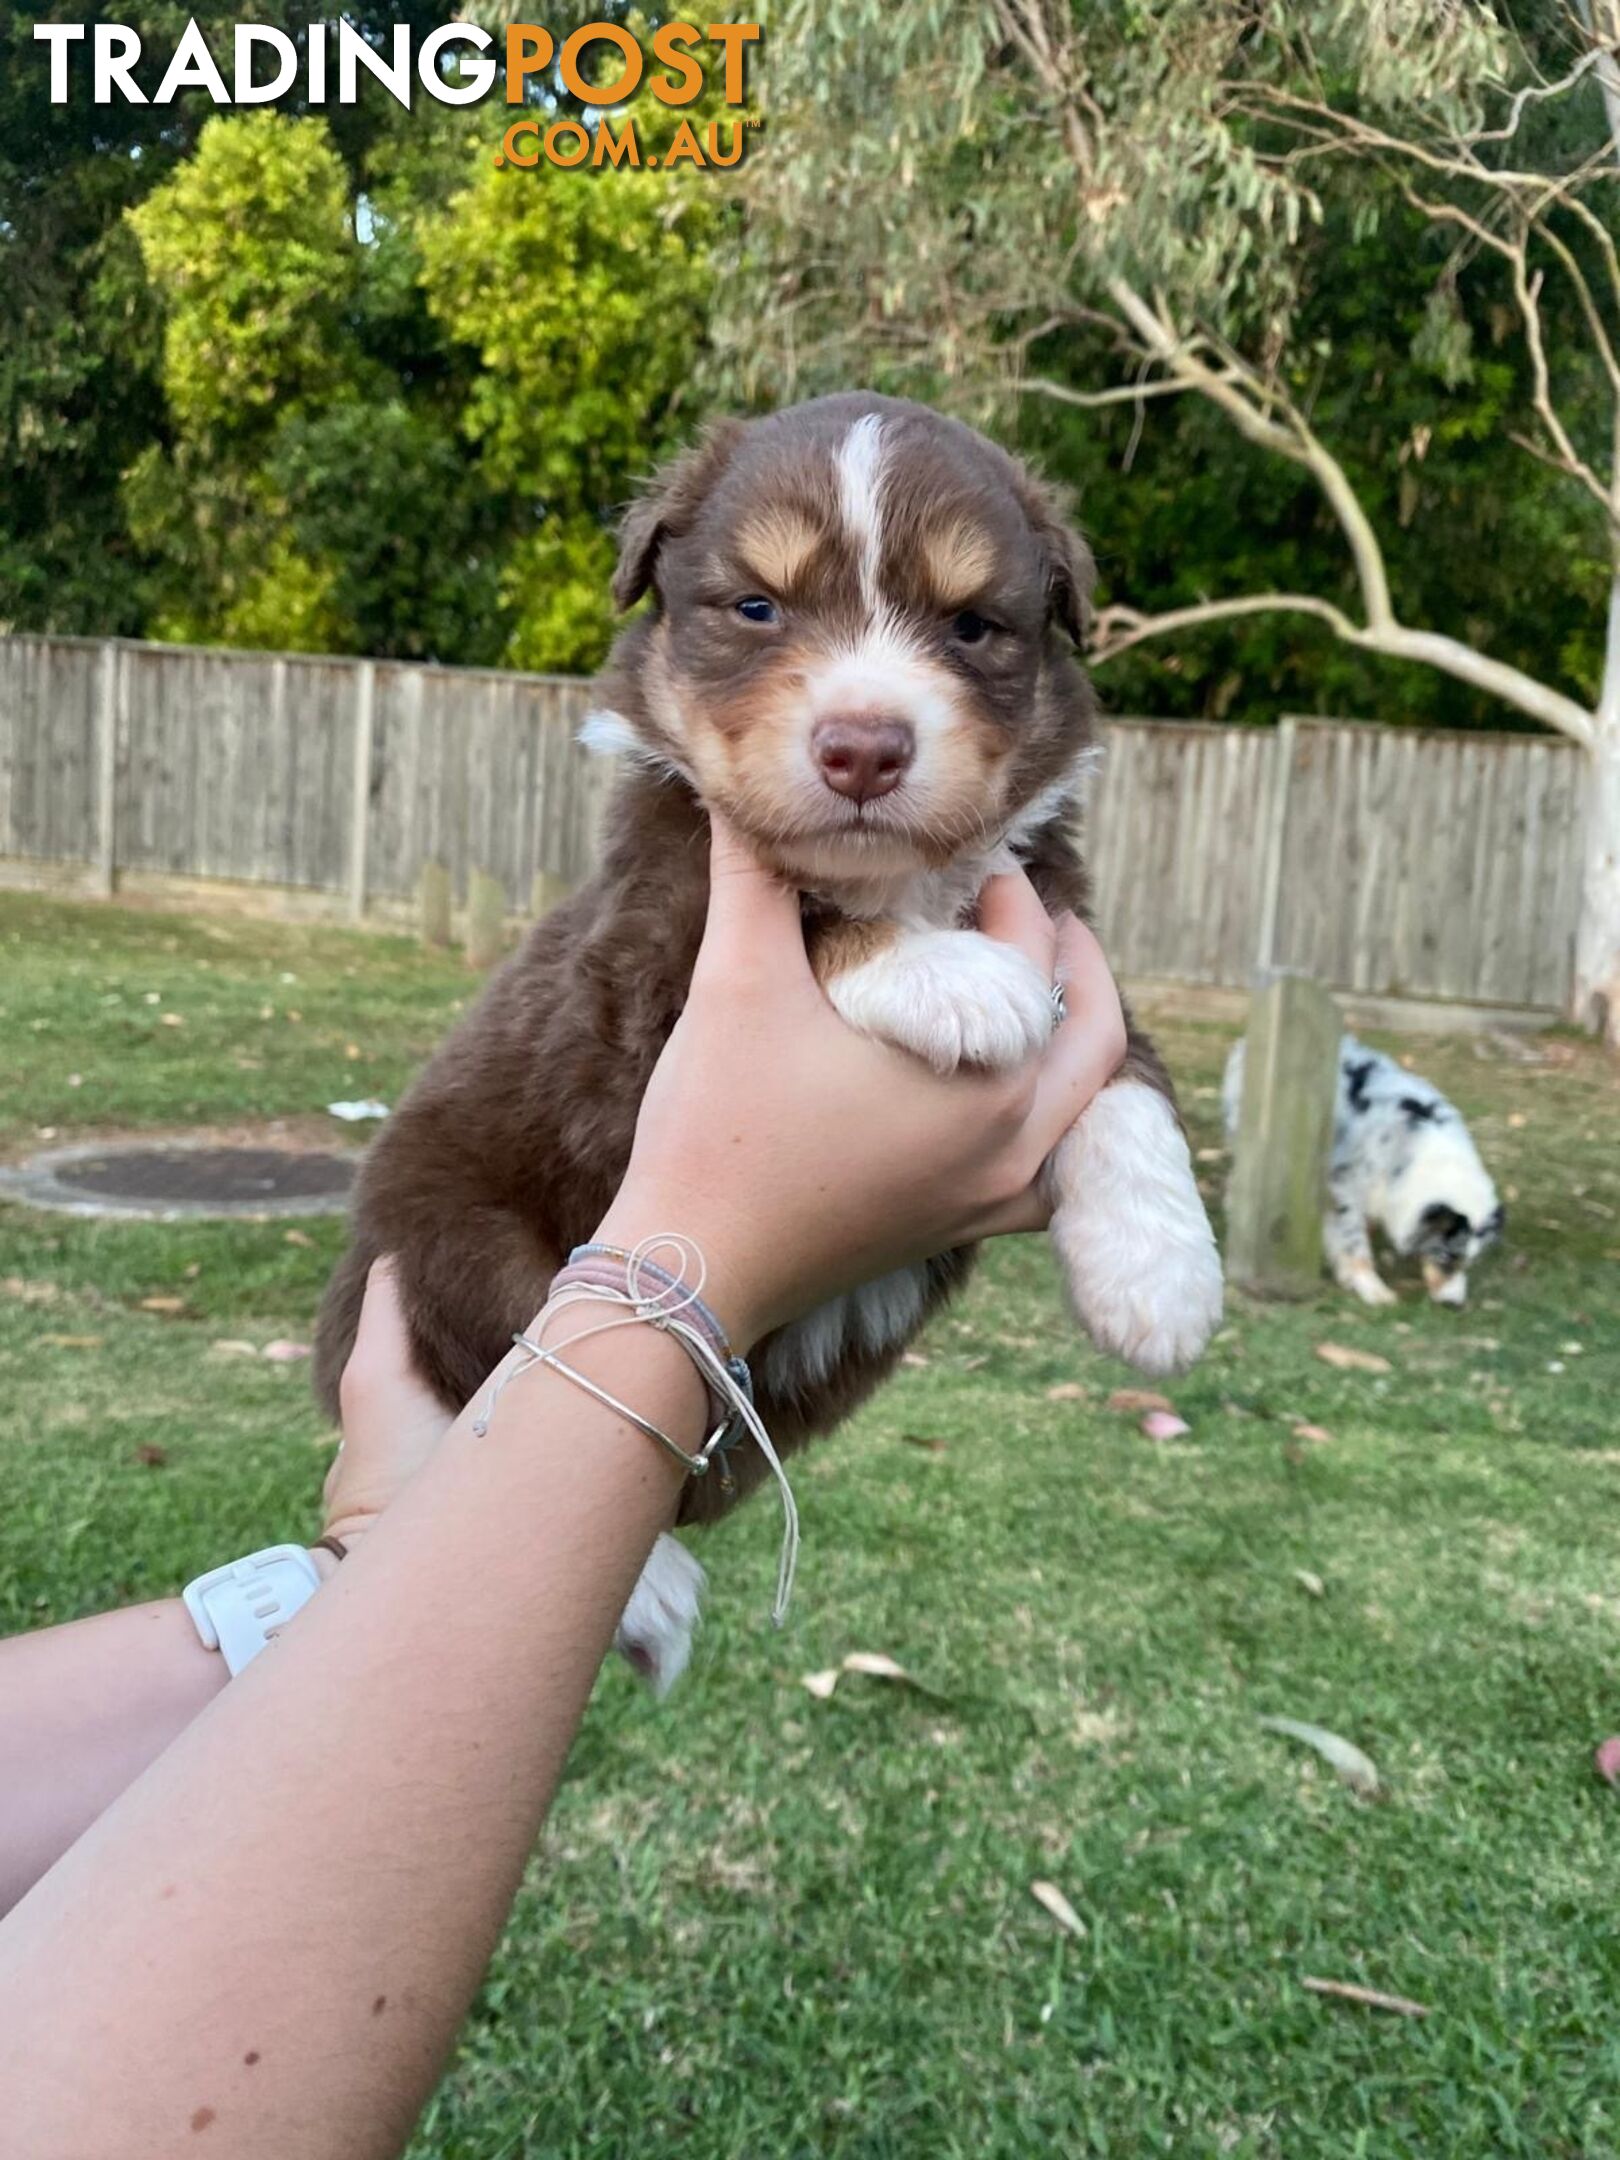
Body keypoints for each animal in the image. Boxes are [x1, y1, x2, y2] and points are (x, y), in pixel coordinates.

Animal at [317, 397, 1226, 1693]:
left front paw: (1159, 1279)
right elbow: (821, 916)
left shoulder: (1064, 924)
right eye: (757, 607)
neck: (908, 878)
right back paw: (647, 1587)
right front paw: (951, 977)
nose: (864, 747)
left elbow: (1125, 1074)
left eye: (972, 625)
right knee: (475, 1387)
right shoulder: (643, 987)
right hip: (450, 1242)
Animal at [1226, 1032, 1512, 1304]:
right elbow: (1354, 1241)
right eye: (1445, 1256)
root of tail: (1243, 1044)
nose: (1454, 1304)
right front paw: (1371, 1288)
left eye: (1469, 1262)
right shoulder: (1343, 1186)